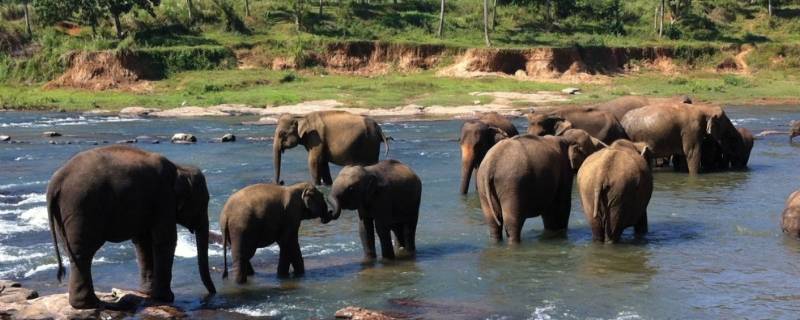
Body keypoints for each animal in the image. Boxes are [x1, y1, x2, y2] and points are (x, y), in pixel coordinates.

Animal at [46, 146, 216, 308]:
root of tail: (56, 181)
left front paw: (147, 292)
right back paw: (90, 304)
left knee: (73, 253)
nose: (212, 293)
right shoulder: (164, 199)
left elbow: (143, 242)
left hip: (64, 213)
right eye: (204, 202)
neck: (180, 168)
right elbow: (165, 240)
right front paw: (166, 298)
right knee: (83, 252)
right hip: (82, 207)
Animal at [476, 129, 608, 244]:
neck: (565, 138)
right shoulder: (563, 169)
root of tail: (491, 164)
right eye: (594, 148)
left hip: (483, 186)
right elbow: (561, 205)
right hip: (511, 185)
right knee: (512, 222)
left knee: (493, 222)